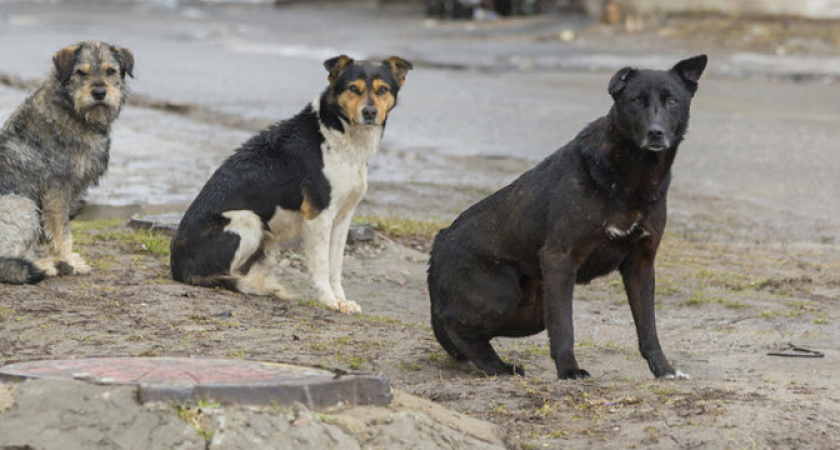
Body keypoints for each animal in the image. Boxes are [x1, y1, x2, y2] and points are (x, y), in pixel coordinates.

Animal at [0, 40, 134, 284]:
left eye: (111, 71)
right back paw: (46, 266)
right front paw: (69, 260)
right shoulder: (56, 192)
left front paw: (65, 259)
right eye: (81, 72)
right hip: (22, 204)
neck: (73, 111)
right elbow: (62, 233)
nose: (99, 93)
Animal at [169, 54, 412, 312]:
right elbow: (321, 266)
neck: (338, 133)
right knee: (223, 276)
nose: (370, 112)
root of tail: (177, 267)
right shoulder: (318, 216)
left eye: (382, 89)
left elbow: (335, 266)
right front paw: (329, 300)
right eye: (353, 88)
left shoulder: (343, 218)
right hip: (247, 220)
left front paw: (342, 300)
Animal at [426, 55, 708, 380]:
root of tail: (436, 246)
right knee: (457, 327)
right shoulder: (560, 257)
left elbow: (648, 328)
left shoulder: (641, 264)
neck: (631, 177)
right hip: (503, 294)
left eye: (672, 101)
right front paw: (569, 370)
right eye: (636, 100)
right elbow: (564, 325)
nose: (656, 132)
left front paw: (663, 369)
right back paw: (495, 367)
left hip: (532, 311)